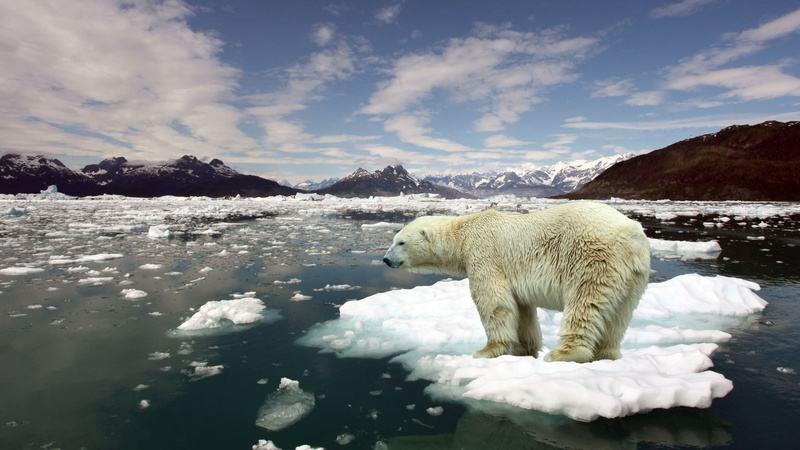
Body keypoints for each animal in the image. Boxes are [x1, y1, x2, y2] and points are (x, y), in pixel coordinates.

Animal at [382, 201, 650, 363]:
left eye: (401, 242)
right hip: (633, 276)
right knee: (619, 314)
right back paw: (607, 353)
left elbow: (493, 301)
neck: (463, 234)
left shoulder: (484, 255)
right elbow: (522, 309)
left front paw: (486, 351)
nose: (385, 259)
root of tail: (631, 234)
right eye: (393, 240)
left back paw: (564, 353)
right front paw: (524, 349)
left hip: (591, 258)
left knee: (584, 303)